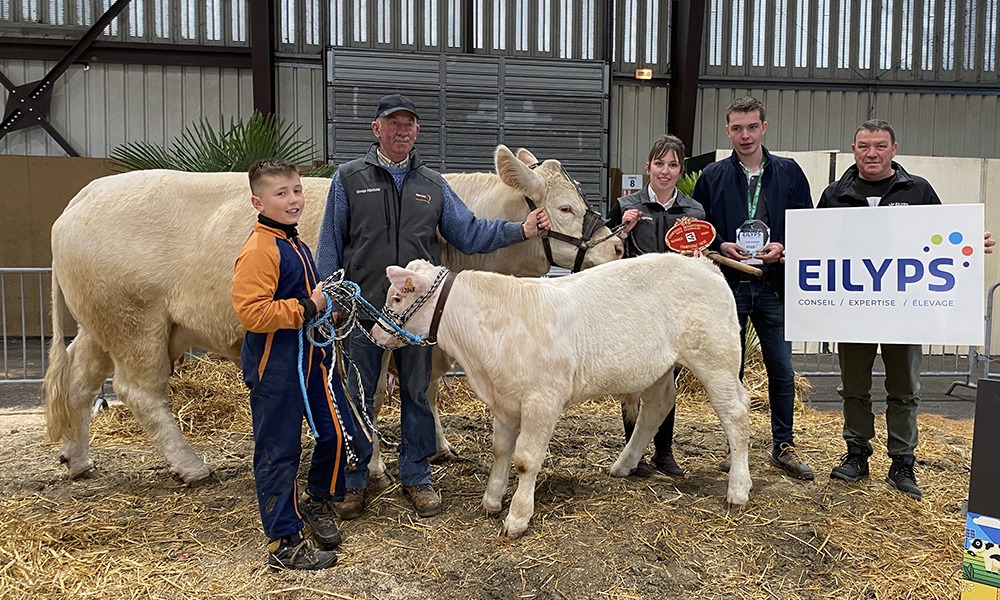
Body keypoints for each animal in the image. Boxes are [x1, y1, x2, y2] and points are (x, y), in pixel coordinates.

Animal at [48, 145, 624, 482]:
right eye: (567, 208)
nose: (618, 246)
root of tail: (77, 202)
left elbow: (425, 389)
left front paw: (436, 446)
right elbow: (381, 393)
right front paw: (387, 459)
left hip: (103, 322)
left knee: (78, 377)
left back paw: (77, 458)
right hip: (135, 319)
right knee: (139, 391)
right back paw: (191, 466)